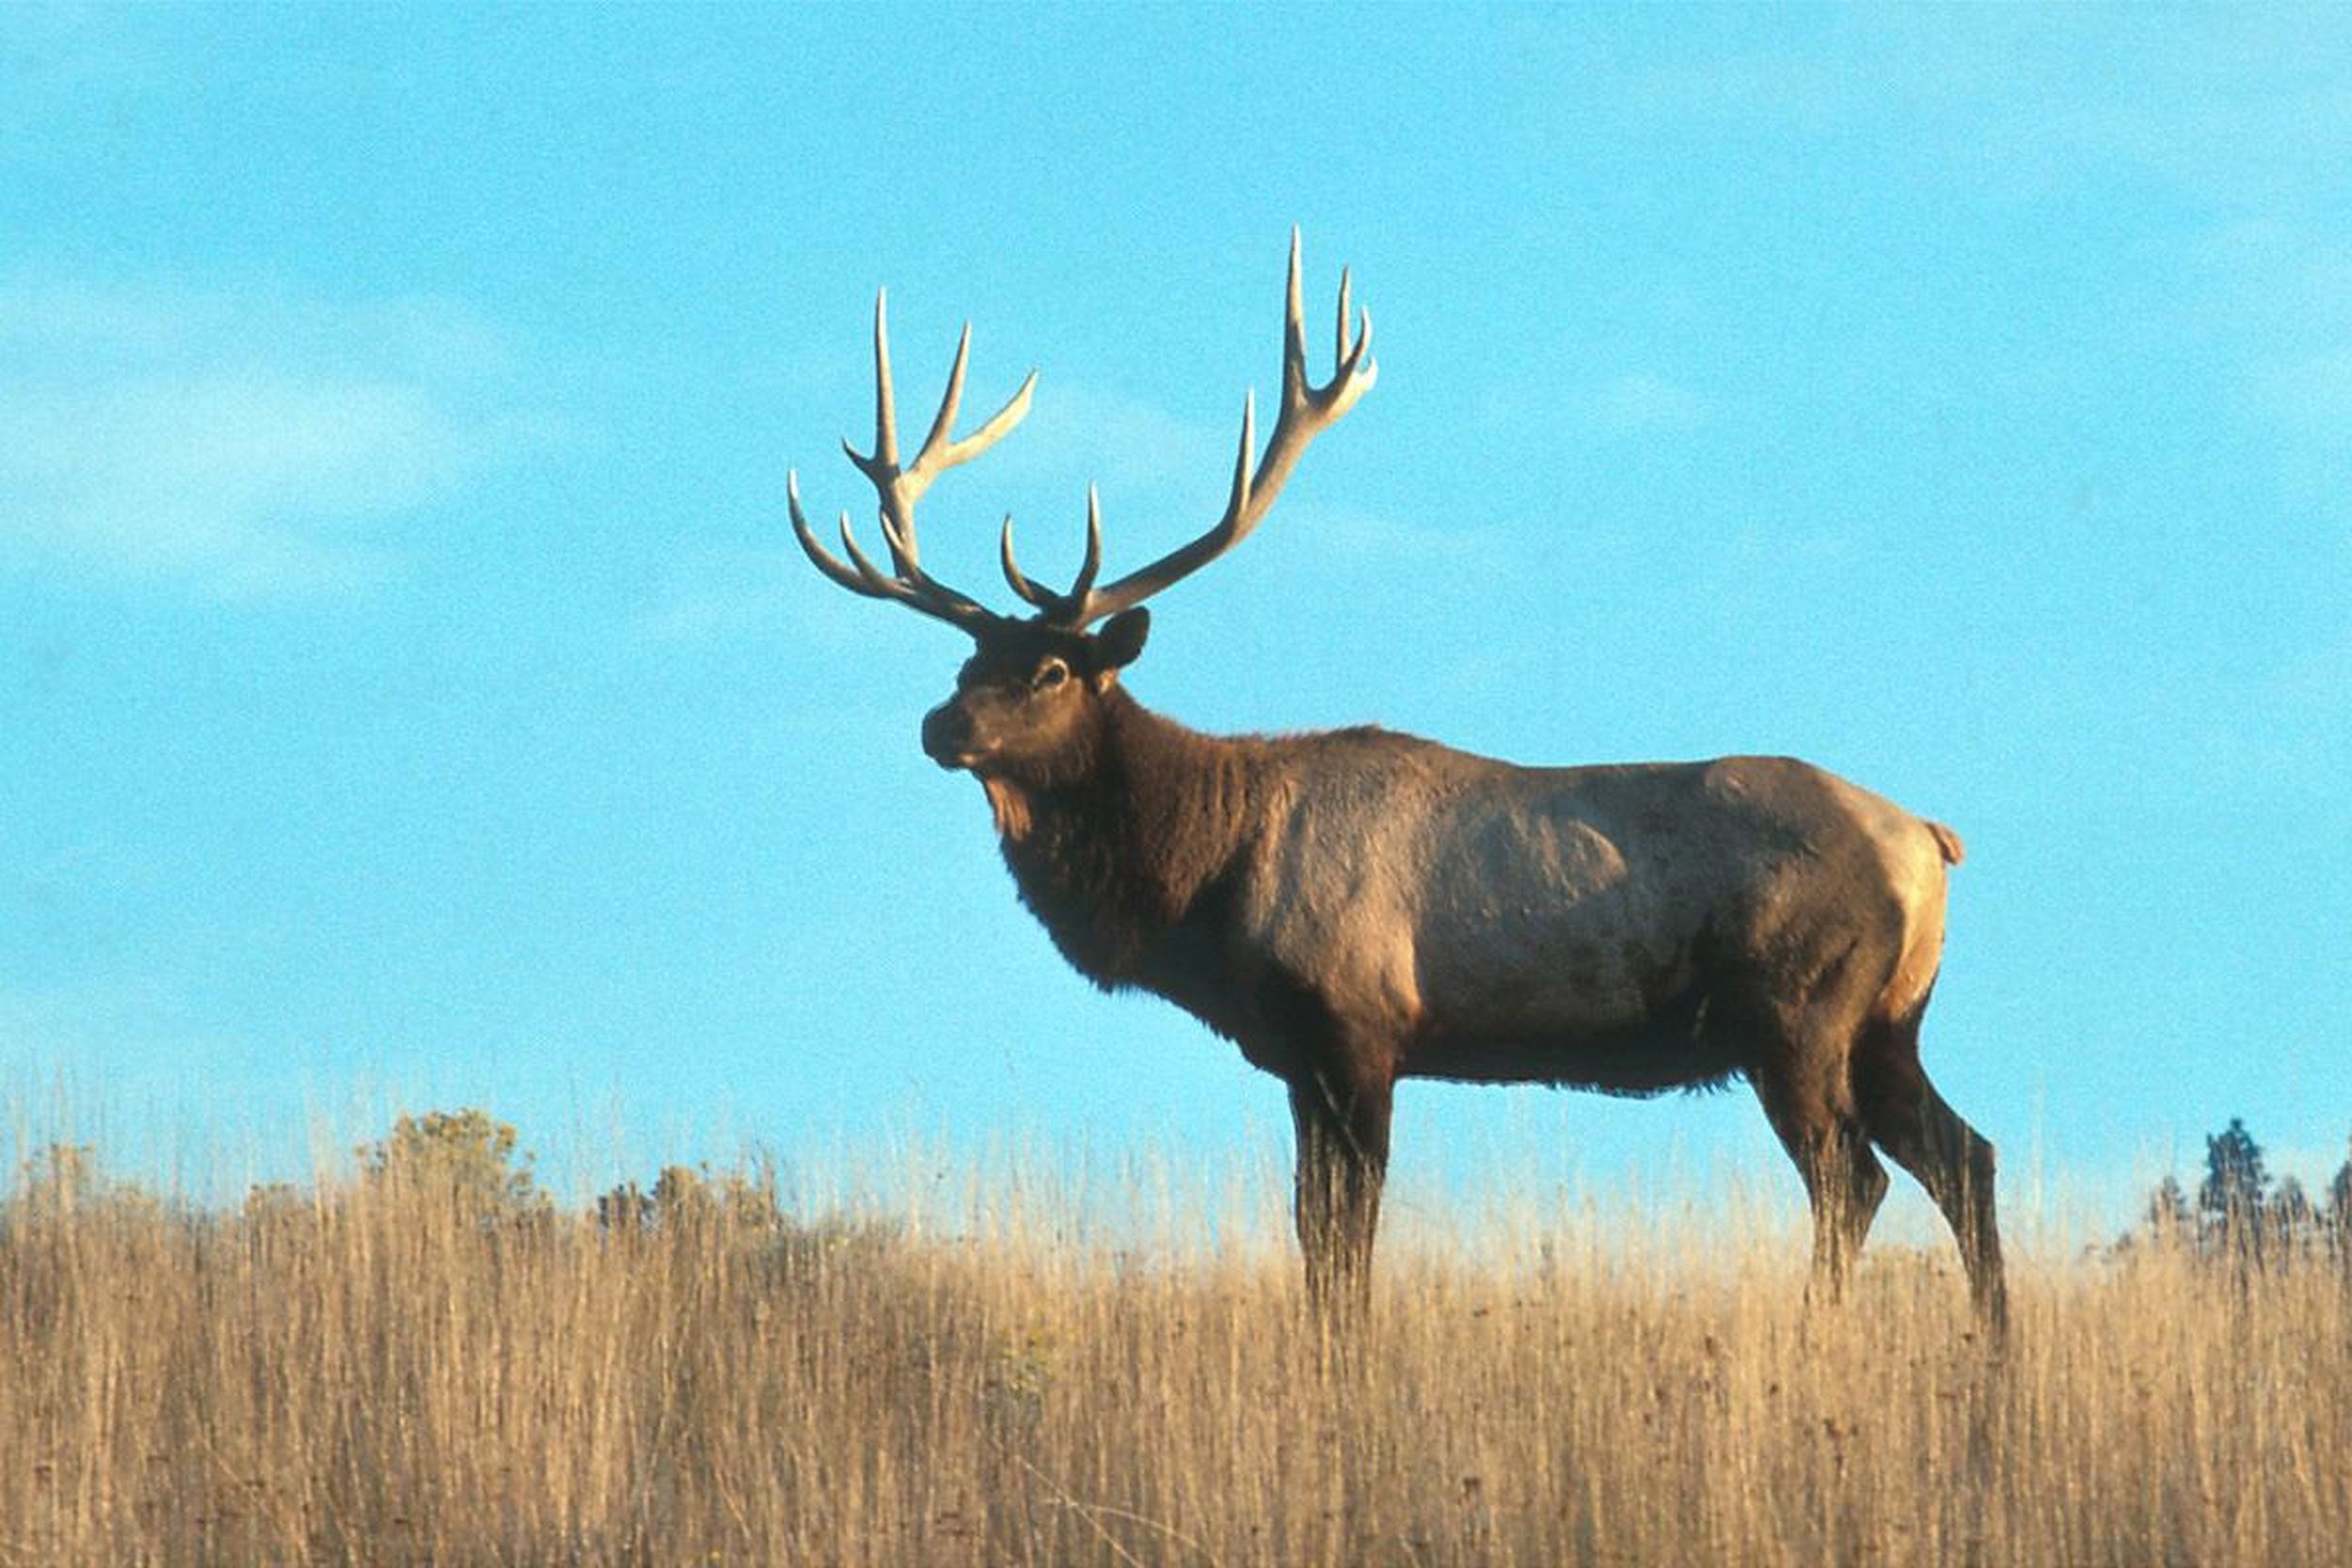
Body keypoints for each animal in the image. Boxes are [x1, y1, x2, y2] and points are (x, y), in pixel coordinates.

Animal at [790, 236, 2004, 1335]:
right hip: (1889, 1017)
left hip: (1797, 1008)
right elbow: (1312, 1232)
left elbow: (1345, 1238)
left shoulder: (1357, 1023)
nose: (939, 725)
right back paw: (1989, 1350)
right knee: (1964, 1155)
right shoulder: (1298, 1055)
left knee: (1854, 1175)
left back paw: (1817, 1338)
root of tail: (1929, 841)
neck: (1203, 886)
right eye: (964, 662)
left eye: (1046, 670)